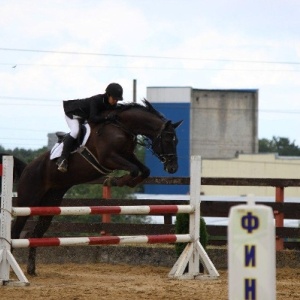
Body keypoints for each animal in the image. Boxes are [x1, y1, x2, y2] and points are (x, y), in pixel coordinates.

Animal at [8, 99, 182, 276]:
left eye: (177, 141)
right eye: (168, 140)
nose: (173, 168)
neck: (122, 126)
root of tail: (27, 168)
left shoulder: (127, 155)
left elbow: (144, 170)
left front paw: (127, 182)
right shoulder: (109, 158)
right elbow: (134, 169)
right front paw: (118, 181)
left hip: (50, 204)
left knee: (36, 233)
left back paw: (31, 269)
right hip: (28, 201)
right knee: (15, 231)